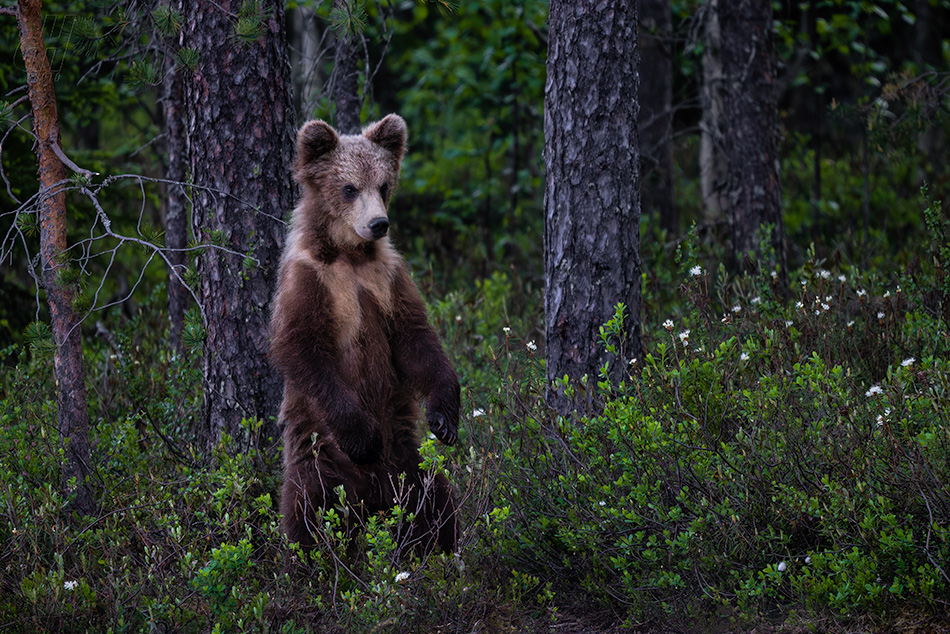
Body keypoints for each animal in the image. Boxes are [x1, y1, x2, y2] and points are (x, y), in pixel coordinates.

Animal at [270, 113, 462, 552]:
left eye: (384, 184)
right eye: (349, 187)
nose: (378, 223)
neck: (349, 254)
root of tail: (372, 497)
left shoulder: (389, 278)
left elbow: (417, 341)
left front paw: (445, 416)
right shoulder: (308, 281)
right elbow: (303, 349)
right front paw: (363, 435)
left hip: (407, 461)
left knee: (436, 499)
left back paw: (444, 547)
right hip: (320, 458)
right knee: (308, 511)